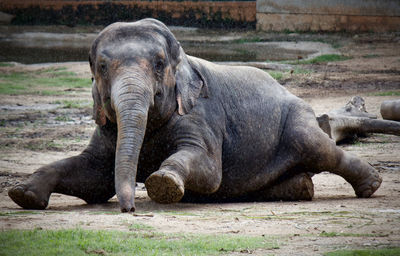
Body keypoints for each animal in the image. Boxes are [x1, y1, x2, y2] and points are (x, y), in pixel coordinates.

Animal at [7, 19, 382, 213]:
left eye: (159, 65)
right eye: (100, 67)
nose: (129, 209)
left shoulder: (202, 115)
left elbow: (208, 168)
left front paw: (164, 182)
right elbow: (93, 176)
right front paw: (22, 194)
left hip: (297, 120)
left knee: (318, 148)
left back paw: (371, 185)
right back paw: (301, 187)